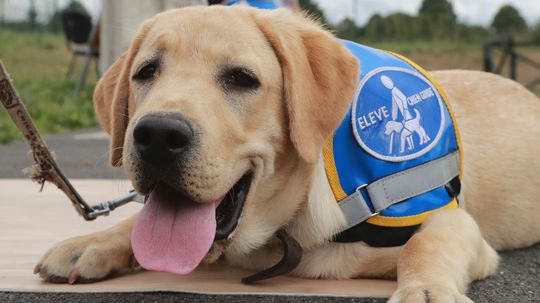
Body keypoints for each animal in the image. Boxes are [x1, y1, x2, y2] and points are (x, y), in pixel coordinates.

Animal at [35, 5, 536, 303]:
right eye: (146, 72)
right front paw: (90, 244)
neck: (287, 226)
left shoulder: (453, 220)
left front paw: (425, 291)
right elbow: (139, 222)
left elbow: (424, 244)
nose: (157, 135)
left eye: (242, 78)